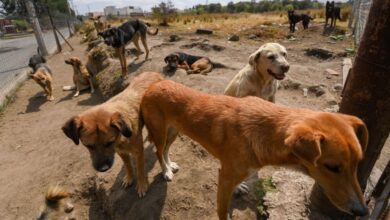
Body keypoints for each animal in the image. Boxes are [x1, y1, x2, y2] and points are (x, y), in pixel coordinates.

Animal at [141, 80, 368, 219]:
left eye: (358, 163)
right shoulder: (224, 177)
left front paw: (239, 187)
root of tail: (154, 84)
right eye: (332, 167)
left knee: (165, 150)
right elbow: (223, 212)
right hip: (160, 132)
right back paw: (166, 171)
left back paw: (170, 165)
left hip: (174, 131)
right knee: (158, 151)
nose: (363, 211)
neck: (264, 132)